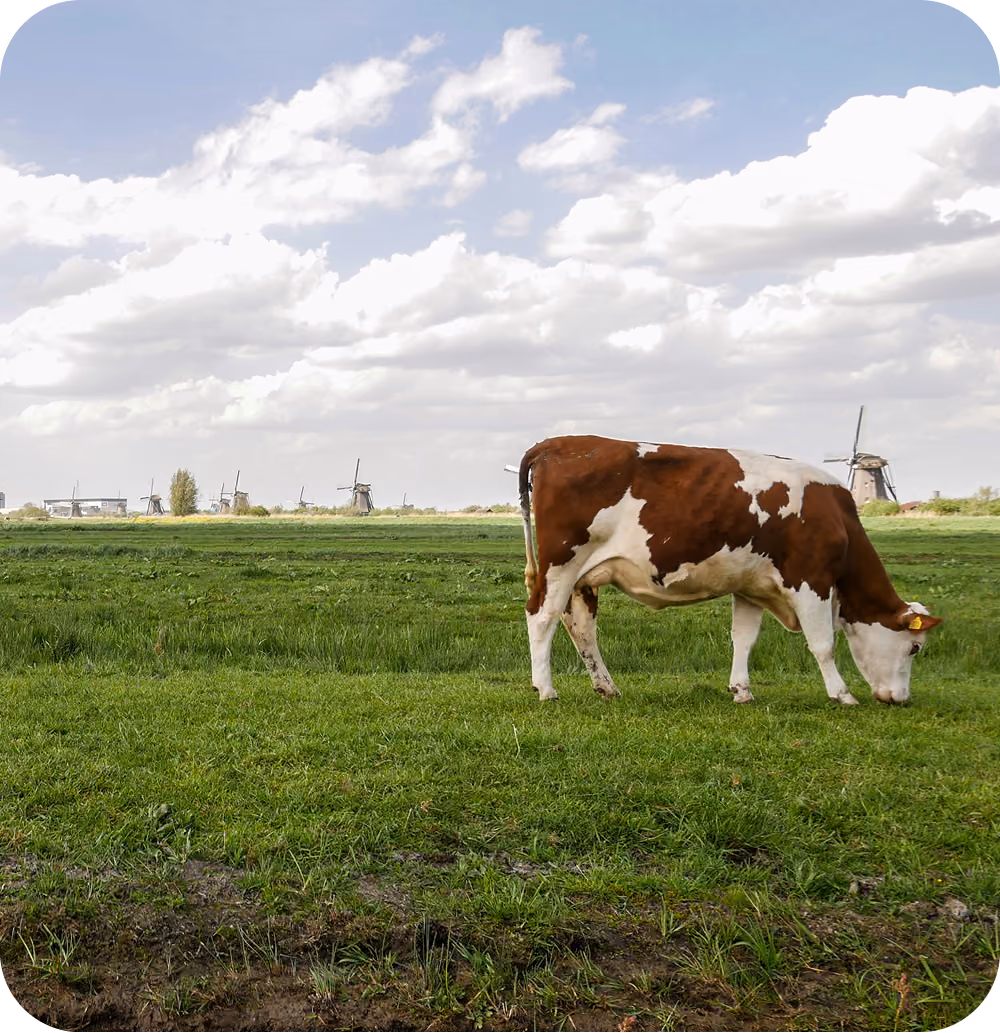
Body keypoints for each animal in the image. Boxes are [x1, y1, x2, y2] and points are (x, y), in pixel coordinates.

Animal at [518, 435, 941, 706]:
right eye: (915, 648)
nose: (901, 700)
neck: (837, 516)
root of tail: (554, 443)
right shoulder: (811, 579)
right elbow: (823, 643)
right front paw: (842, 694)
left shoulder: (751, 586)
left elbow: (744, 639)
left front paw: (741, 690)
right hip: (561, 564)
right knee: (541, 617)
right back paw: (545, 689)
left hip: (583, 577)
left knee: (580, 627)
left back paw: (606, 687)